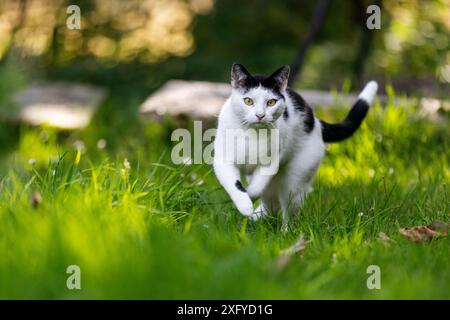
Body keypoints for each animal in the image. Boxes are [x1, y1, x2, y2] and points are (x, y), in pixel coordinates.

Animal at [213, 63, 378, 225]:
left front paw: (249, 198)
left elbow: (256, 188)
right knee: (270, 205)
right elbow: (234, 184)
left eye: (271, 102)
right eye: (248, 101)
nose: (260, 115)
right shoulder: (223, 161)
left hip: (295, 180)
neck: (251, 133)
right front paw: (245, 205)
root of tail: (317, 122)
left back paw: (284, 231)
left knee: (287, 210)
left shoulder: (271, 163)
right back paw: (257, 218)